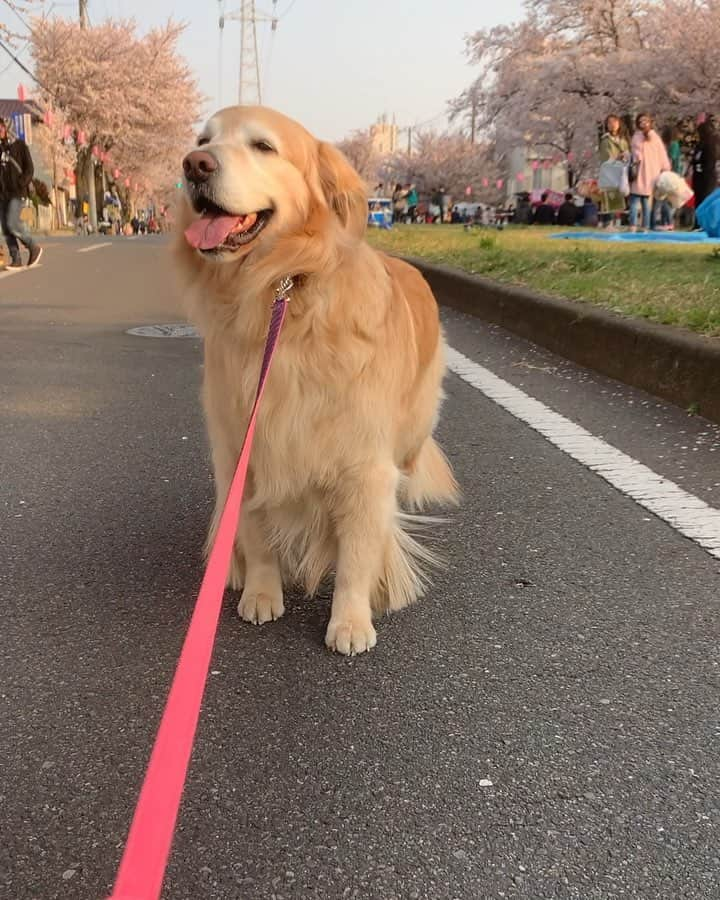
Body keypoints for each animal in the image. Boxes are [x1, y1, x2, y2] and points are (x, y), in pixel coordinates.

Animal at [174, 107, 456, 652]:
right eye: (202, 140)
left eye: (263, 146)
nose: (194, 165)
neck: (283, 289)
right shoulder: (245, 449)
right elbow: (257, 535)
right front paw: (262, 592)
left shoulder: (364, 464)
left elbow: (357, 554)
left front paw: (350, 621)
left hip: (414, 423)